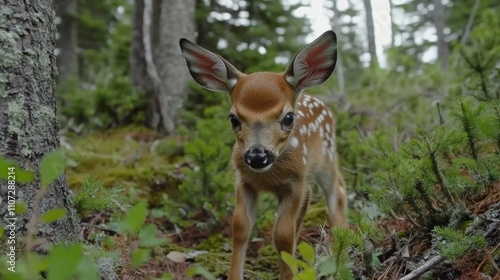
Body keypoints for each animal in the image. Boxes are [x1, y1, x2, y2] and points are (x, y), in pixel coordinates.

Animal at [180, 30, 348, 280]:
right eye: (234, 119)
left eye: (288, 117)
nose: (257, 156)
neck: (268, 176)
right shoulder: (244, 181)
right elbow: (240, 228)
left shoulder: (294, 183)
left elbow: (282, 236)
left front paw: (289, 274)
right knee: (311, 196)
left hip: (326, 159)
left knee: (337, 190)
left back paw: (343, 250)